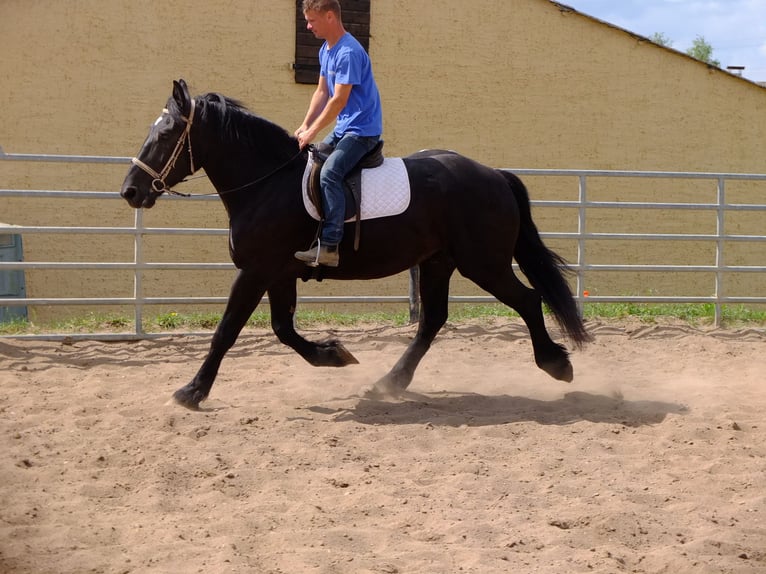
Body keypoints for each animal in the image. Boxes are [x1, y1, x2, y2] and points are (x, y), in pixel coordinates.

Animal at [120, 81, 592, 412]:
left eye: (165, 134)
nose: (130, 191)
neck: (268, 183)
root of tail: (494, 174)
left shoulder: (255, 271)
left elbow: (226, 332)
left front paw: (191, 391)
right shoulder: (279, 273)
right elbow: (283, 329)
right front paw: (334, 354)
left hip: (484, 264)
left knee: (527, 301)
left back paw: (557, 364)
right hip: (438, 263)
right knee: (432, 321)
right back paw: (389, 383)